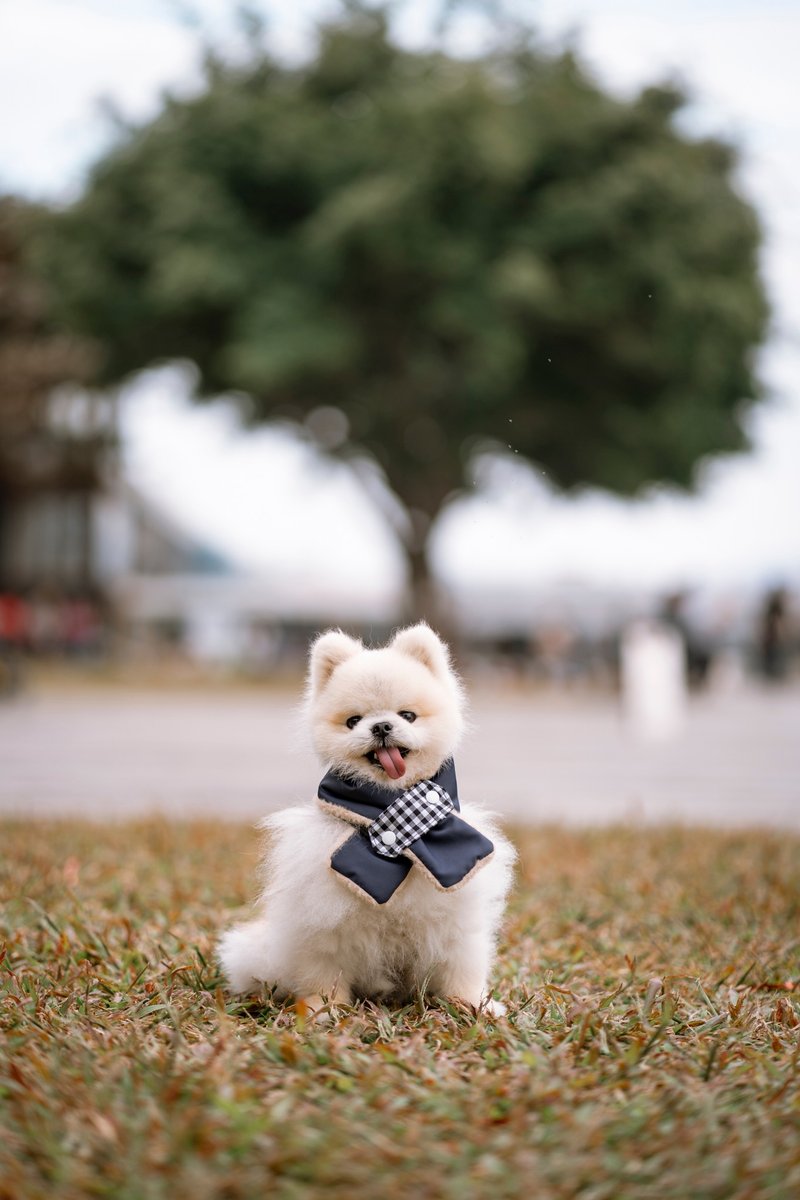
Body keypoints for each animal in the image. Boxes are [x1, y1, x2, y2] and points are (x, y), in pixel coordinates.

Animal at [219, 624, 515, 1017]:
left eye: (408, 715)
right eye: (353, 721)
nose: (382, 726)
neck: (388, 805)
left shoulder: (455, 920)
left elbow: (459, 967)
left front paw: (469, 1004)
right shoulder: (324, 921)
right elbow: (324, 971)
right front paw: (323, 1009)